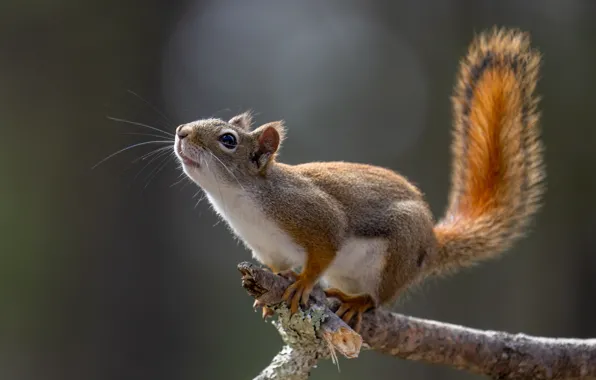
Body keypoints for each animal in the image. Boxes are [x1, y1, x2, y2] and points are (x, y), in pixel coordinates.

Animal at [172, 26, 544, 332]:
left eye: (228, 140)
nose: (181, 131)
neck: (239, 201)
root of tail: (431, 243)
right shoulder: (268, 250)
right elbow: (279, 268)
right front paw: (278, 287)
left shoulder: (312, 214)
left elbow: (325, 246)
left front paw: (303, 283)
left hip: (397, 253)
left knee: (379, 299)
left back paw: (358, 301)